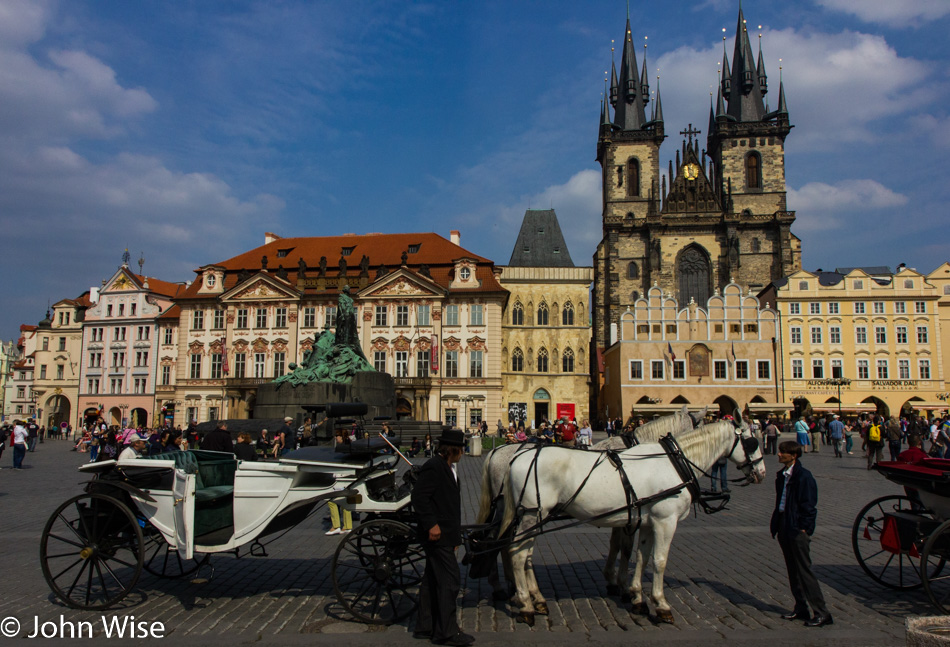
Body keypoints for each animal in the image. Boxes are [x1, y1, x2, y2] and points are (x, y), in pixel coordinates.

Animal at [474, 410, 700, 604]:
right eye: (698, 424)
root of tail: (495, 451)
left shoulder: (623, 513)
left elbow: (616, 545)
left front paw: (613, 580)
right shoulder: (630, 511)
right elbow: (625, 548)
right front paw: (621, 584)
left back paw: (508, 586)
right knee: (500, 542)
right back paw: (509, 588)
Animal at [498, 418, 768, 624]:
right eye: (752, 442)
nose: (762, 473)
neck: (673, 462)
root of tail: (516, 458)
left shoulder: (646, 521)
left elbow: (641, 557)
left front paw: (637, 596)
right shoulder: (665, 520)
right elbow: (659, 561)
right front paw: (660, 604)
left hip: (533, 517)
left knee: (523, 554)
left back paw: (535, 599)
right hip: (533, 515)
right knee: (517, 554)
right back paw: (526, 606)